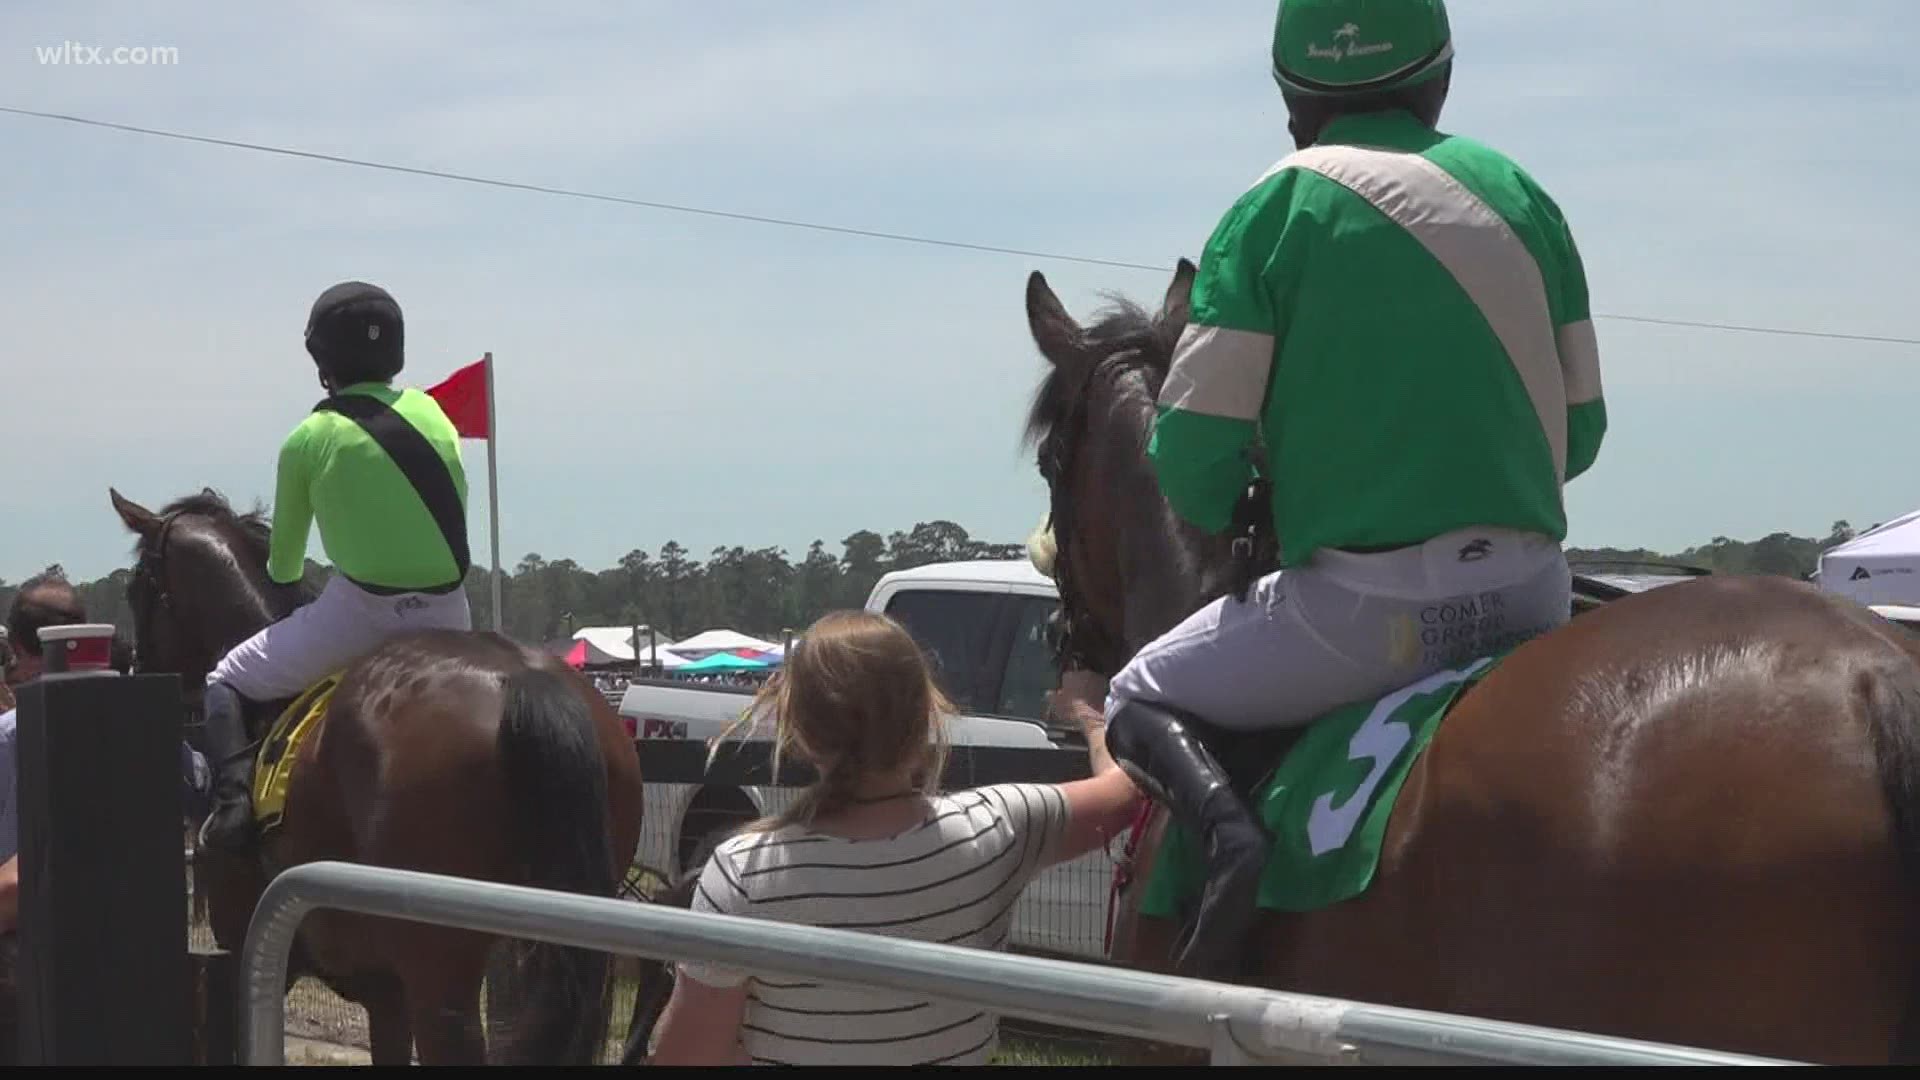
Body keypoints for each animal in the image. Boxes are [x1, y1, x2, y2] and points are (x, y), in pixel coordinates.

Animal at [107, 488, 645, 1060]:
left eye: (137, 586)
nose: (138, 665)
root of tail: (520, 678)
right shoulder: (385, 993)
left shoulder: (244, 951)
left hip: (440, 967)